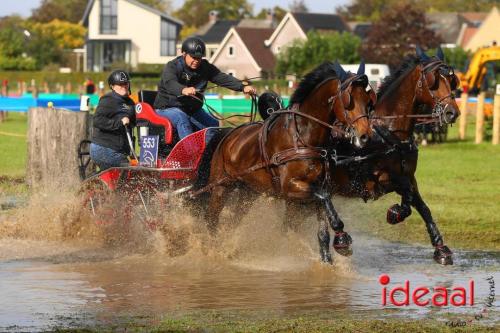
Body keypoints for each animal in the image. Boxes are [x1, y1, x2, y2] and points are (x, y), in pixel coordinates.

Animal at [201, 61, 374, 260]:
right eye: (348, 102)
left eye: (368, 102)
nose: (365, 137)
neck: (303, 137)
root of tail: (228, 134)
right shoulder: (290, 187)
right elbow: (324, 197)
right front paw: (341, 235)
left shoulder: (319, 185)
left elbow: (323, 228)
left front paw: (330, 254)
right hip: (220, 187)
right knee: (211, 219)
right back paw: (211, 249)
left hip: (248, 191)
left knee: (233, 220)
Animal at [288, 47, 458, 264]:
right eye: (433, 82)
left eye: (452, 80)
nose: (452, 112)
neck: (390, 132)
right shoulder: (381, 180)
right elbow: (408, 196)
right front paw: (395, 212)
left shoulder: (410, 177)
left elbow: (422, 206)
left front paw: (441, 248)